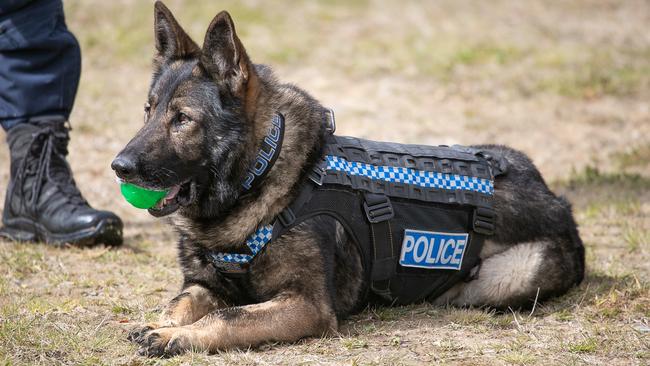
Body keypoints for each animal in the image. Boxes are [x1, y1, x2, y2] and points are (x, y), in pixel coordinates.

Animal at [110, 1, 584, 358]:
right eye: (149, 110)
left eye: (182, 119)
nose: (119, 166)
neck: (260, 175)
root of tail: (553, 196)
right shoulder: (202, 285)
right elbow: (179, 303)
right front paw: (160, 324)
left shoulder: (306, 306)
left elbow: (227, 317)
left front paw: (174, 337)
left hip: (507, 277)